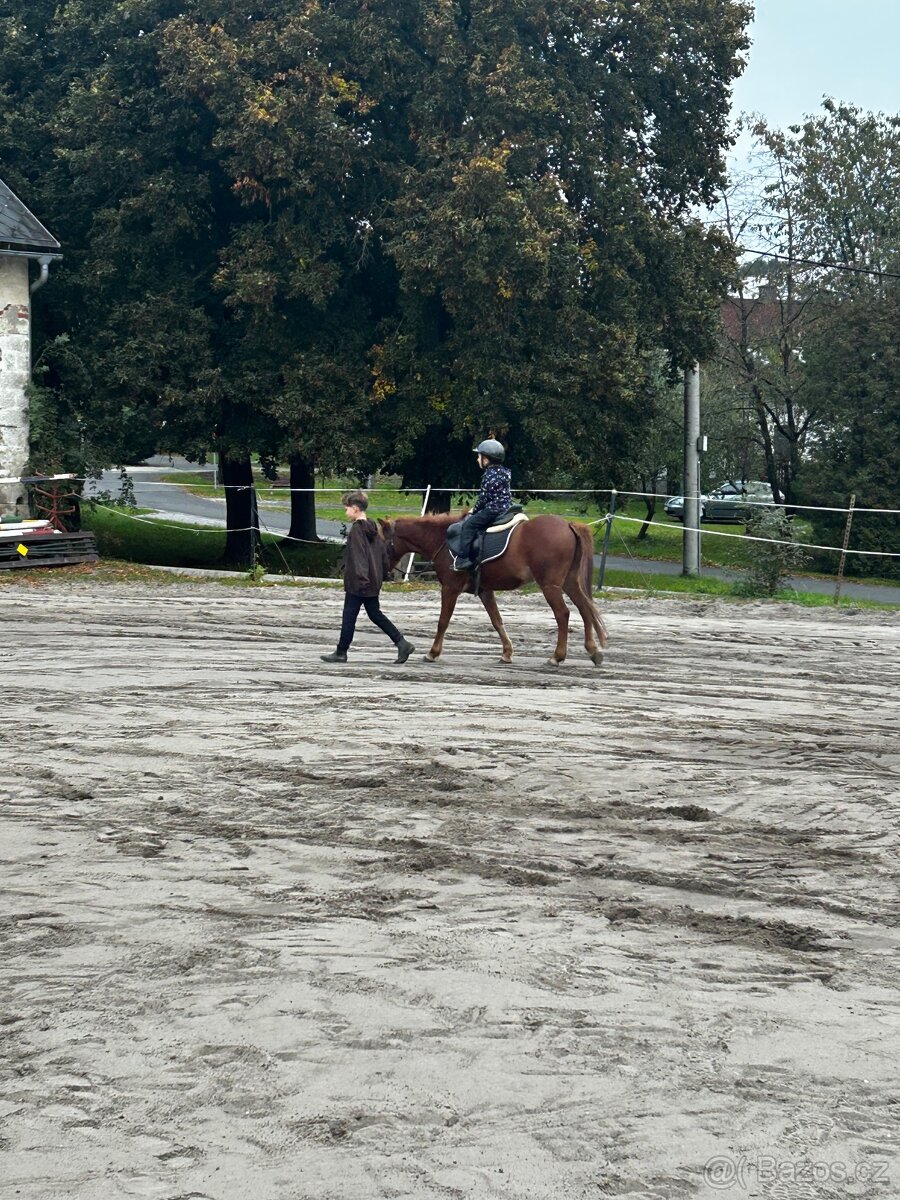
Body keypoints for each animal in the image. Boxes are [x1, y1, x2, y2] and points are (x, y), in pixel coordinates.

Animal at [379, 512, 608, 666]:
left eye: (381, 540)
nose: (384, 572)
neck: (443, 540)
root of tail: (568, 525)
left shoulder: (450, 588)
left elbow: (443, 621)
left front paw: (433, 653)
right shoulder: (485, 591)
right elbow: (497, 620)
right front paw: (507, 652)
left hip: (550, 586)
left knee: (563, 614)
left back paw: (557, 656)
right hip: (570, 583)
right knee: (585, 609)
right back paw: (592, 650)